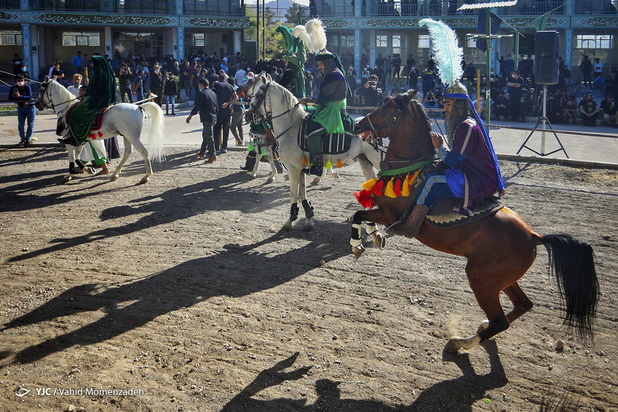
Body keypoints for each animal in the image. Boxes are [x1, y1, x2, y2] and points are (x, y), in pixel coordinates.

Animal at [36, 77, 164, 183]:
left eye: (41, 89)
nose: (37, 104)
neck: (67, 109)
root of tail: (138, 106)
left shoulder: (68, 140)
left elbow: (72, 157)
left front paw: (74, 172)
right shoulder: (79, 141)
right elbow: (77, 156)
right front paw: (83, 170)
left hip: (133, 137)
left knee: (144, 152)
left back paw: (146, 176)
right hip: (127, 136)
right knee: (128, 153)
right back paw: (114, 174)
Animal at [244, 74, 380, 233]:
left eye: (259, 94)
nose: (247, 115)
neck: (292, 127)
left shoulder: (293, 169)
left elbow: (293, 195)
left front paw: (290, 220)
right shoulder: (301, 169)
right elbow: (302, 194)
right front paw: (309, 219)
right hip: (365, 161)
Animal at [352, 90, 596, 350]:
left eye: (386, 108)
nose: (357, 124)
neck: (409, 167)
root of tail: (533, 236)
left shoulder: (391, 214)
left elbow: (359, 214)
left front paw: (359, 244)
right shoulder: (381, 209)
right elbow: (360, 212)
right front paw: (372, 238)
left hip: (481, 279)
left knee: (500, 321)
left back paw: (461, 343)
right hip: (501, 279)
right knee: (523, 305)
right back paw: (480, 327)